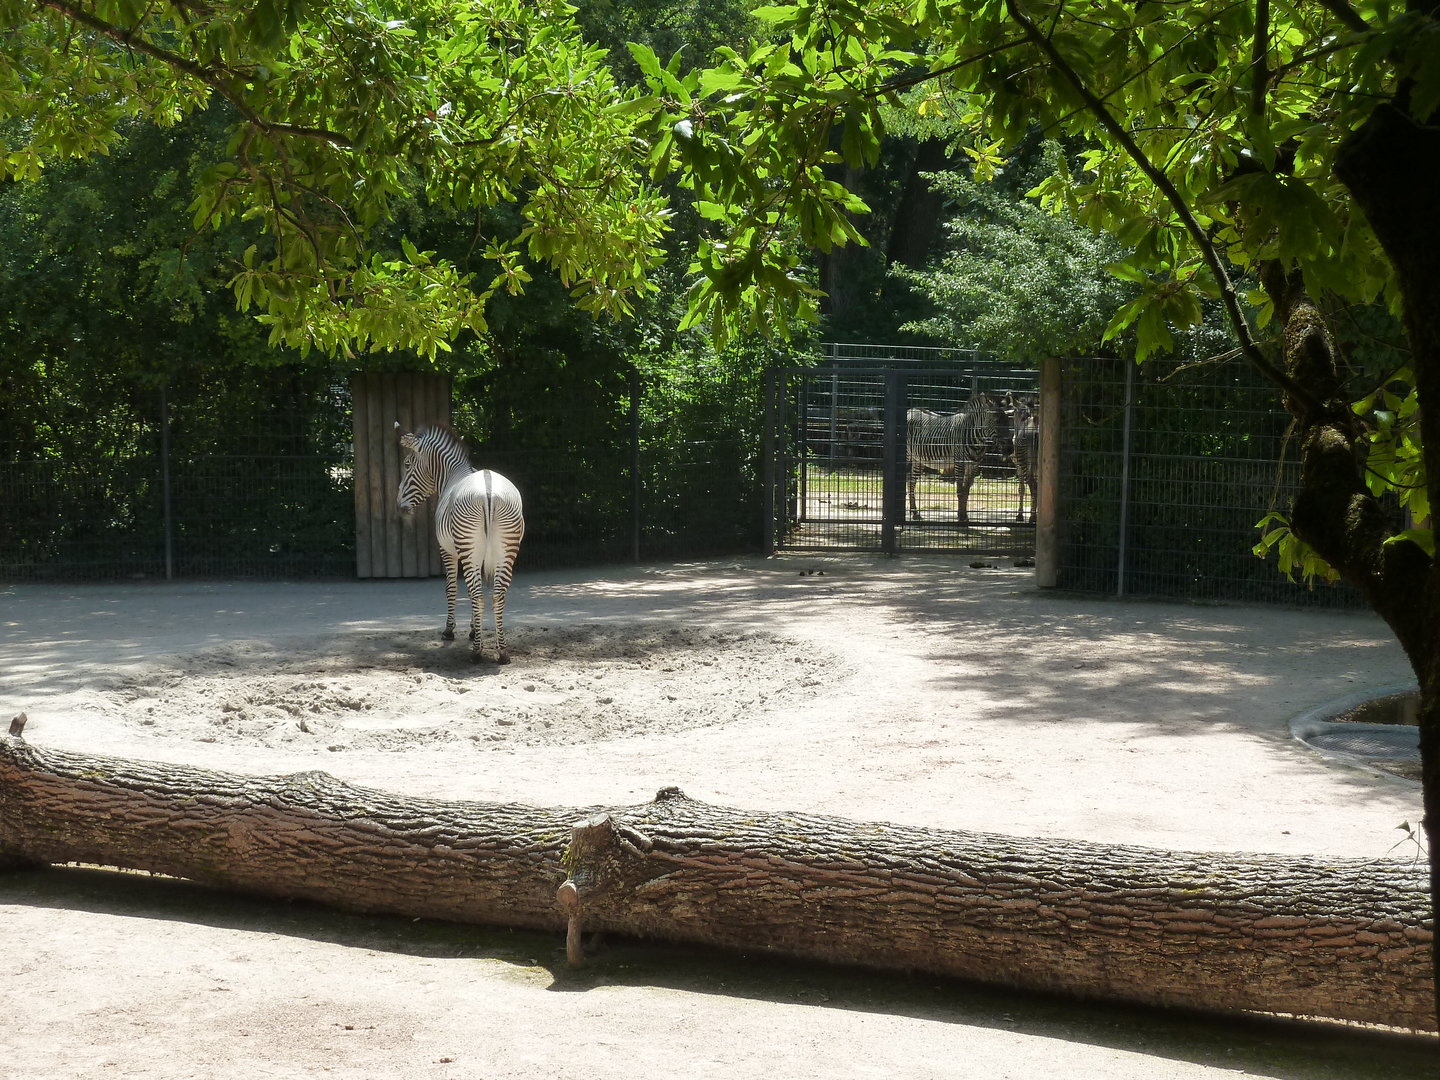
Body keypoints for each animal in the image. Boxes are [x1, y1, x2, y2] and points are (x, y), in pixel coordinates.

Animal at [396, 424, 525, 664]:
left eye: (407, 464)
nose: (400, 507)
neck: (453, 476)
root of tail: (488, 488)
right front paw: (475, 628)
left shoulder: (447, 550)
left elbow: (452, 587)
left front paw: (450, 630)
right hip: (507, 548)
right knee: (496, 594)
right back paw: (502, 651)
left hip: (468, 547)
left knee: (477, 593)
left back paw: (476, 652)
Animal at [906, 391, 1007, 525]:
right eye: (996, 421)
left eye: (1008, 422)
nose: (1010, 449)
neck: (977, 440)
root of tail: (910, 410)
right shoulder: (960, 462)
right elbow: (960, 491)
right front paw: (960, 517)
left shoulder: (974, 465)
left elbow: (966, 491)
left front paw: (965, 516)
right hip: (907, 454)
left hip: (918, 459)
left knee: (911, 481)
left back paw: (915, 513)